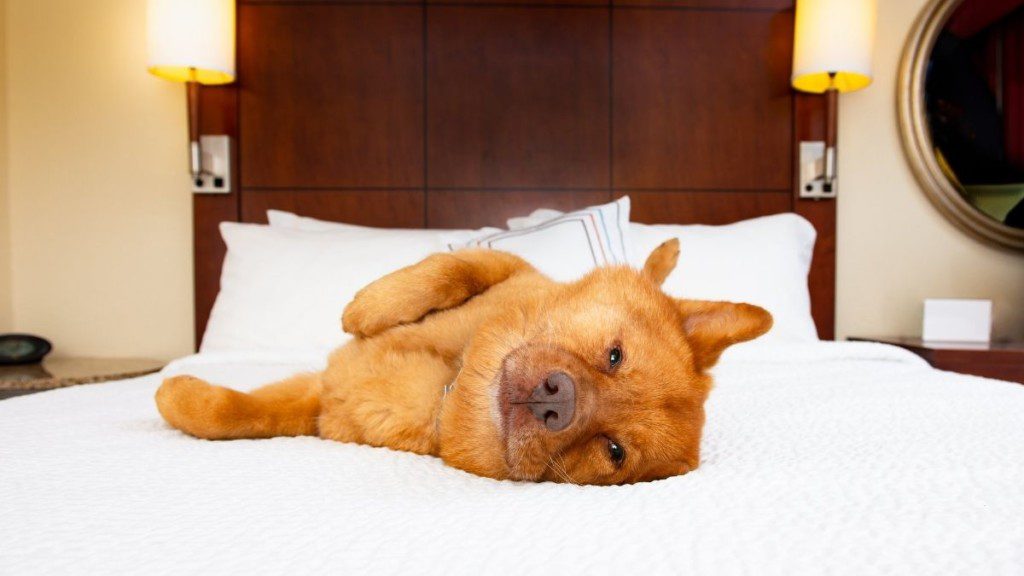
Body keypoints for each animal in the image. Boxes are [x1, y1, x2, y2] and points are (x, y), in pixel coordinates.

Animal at [155, 238, 770, 483]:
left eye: (613, 450)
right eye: (614, 356)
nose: (556, 399)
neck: (449, 384)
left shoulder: (320, 407)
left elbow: (237, 415)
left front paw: (176, 394)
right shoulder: (508, 264)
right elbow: (451, 268)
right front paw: (369, 306)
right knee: (650, 272)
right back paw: (664, 252)